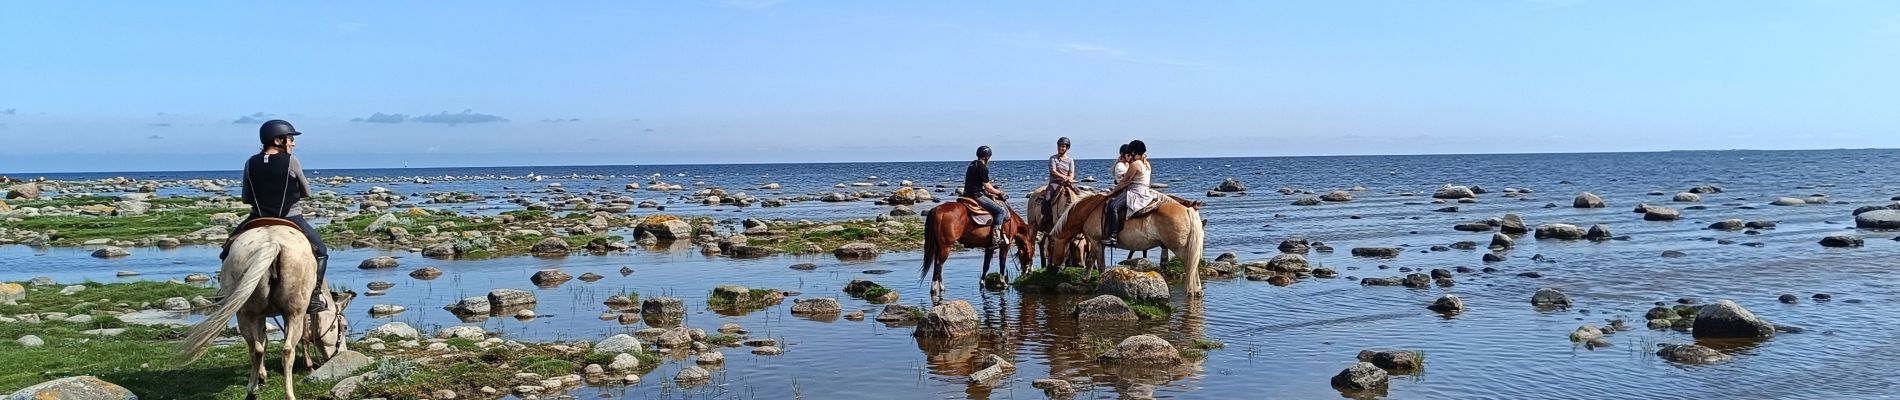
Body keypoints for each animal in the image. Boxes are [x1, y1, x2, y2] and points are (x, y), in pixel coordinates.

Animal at [179, 221, 351, 400]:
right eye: (344, 326)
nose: (342, 353)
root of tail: (272, 243)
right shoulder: (303, 312)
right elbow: (304, 337)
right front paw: (309, 366)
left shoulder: (261, 315)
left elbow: (263, 342)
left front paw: (262, 375)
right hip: (292, 313)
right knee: (286, 350)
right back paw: (284, 393)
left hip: (246, 314)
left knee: (258, 349)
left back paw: (253, 390)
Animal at [1048, 193, 1208, 297]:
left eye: (1050, 247)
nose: (1051, 268)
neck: (1090, 211)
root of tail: (1187, 209)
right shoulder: (1096, 243)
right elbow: (1092, 262)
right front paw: (1085, 280)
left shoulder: (1096, 243)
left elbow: (1098, 265)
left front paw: (1098, 284)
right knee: (1193, 268)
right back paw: (1197, 291)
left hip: (1181, 250)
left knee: (1190, 268)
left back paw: (1193, 290)